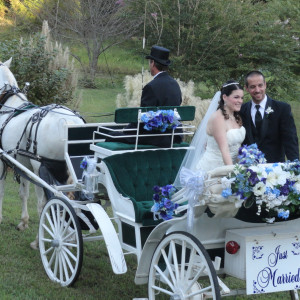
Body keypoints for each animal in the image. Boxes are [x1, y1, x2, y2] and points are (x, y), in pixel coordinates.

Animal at [0, 58, 85, 248]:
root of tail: (68, 122)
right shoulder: (22, 164)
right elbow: (23, 193)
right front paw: (23, 222)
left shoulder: (2, 160)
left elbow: (0, 190)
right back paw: (71, 238)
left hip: (41, 170)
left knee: (46, 204)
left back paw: (40, 241)